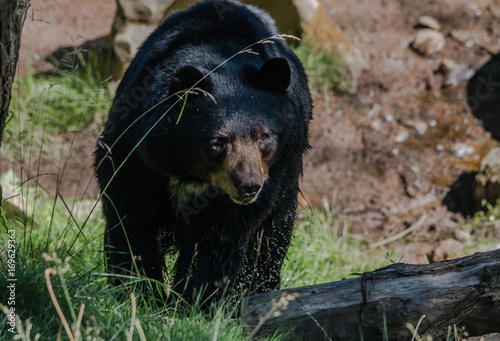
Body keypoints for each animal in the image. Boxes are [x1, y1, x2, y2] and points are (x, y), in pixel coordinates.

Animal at [94, 0, 310, 302]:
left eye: (264, 136)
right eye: (218, 141)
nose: (248, 186)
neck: (190, 173)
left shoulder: (263, 181)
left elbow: (216, 239)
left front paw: (194, 300)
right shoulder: (135, 154)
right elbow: (130, 218)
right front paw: (138, 291)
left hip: (287, 175)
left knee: (272, 238)